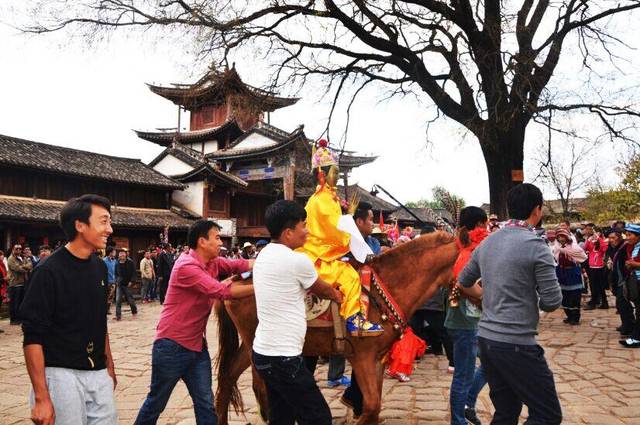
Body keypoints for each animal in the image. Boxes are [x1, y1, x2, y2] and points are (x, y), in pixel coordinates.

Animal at [215, 232, 460, 424]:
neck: (386, 288)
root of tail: (231, 283)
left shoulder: (378, 358)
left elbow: (374, 408)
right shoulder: (362, 357)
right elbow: (372, 406)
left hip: (249, 346)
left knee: (228, 376)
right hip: (258, 346)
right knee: (260, 388)